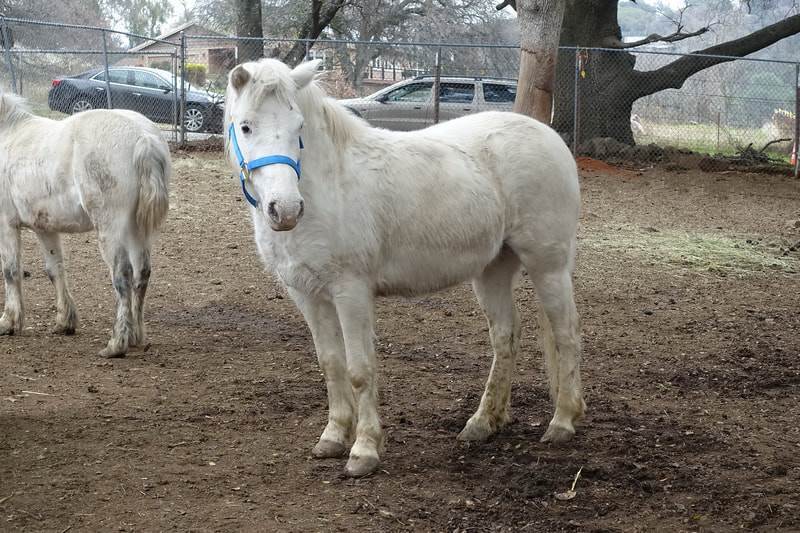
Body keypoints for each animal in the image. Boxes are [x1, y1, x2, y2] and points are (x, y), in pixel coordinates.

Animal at [0, 90, 170, 358]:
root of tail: (143, 137)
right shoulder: (44, 227)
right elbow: (55, 270)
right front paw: (64, 322)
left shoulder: (6, 224)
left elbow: (10, 271)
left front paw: (8, 322)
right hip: (137, 230)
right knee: (141, 273)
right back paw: (135, 336)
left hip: (110, 229)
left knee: (122, 276)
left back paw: (116, 344)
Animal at [224, 59, 584, 477]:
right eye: (246, 126)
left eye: (299, 127)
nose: (285, 210)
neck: (329, 185)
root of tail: (548, 136)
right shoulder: (308, 295)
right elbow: (331, 364)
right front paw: (332, 437)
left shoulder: (351, 292)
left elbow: (359, 370)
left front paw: (363, 450)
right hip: (492, 270)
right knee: (505, 337)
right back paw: (483, 422)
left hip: (548, 265)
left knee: (566, 335)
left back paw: (562, 422)